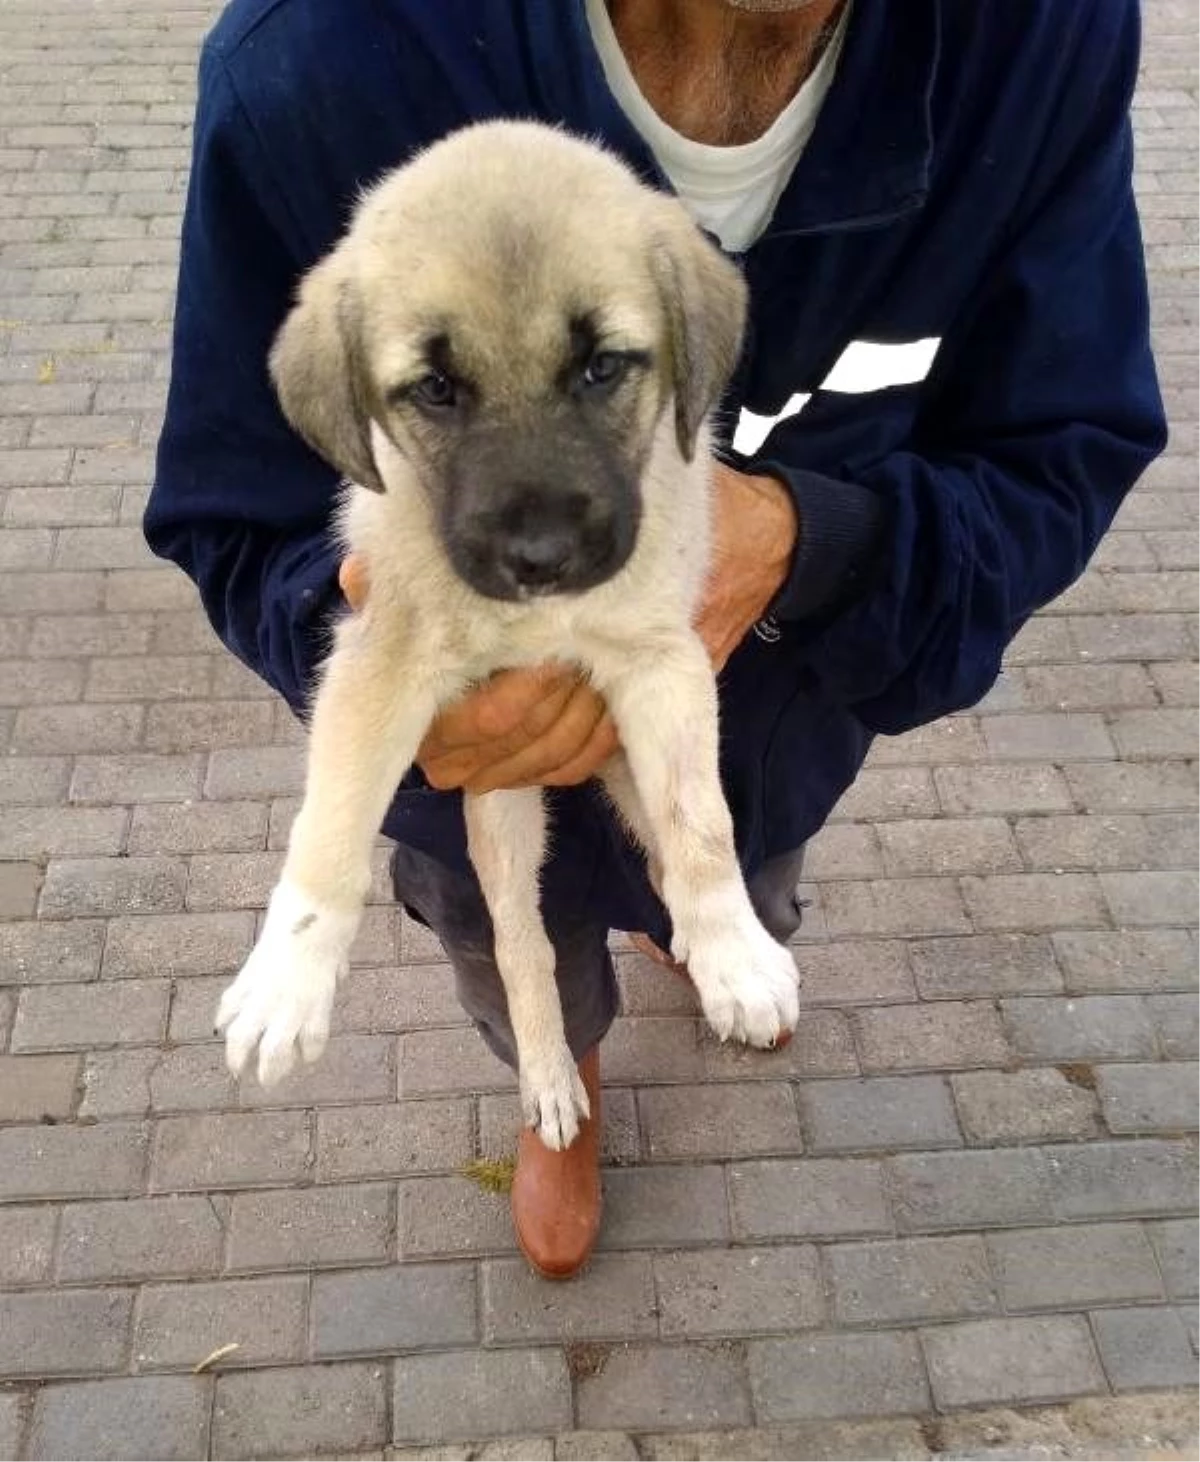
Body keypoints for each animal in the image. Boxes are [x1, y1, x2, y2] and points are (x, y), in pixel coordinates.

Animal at [220, 119, 800, 1146]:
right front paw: (285, 984)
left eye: (603, 366)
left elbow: (703, 825)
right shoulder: (380, 661)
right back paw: (551, 1080)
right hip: (499, 816)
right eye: (436, 389)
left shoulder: (664, 664)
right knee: (525, 949)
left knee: (661, 846)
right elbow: (331, 825)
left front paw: (735, 953)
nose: (543, 555)